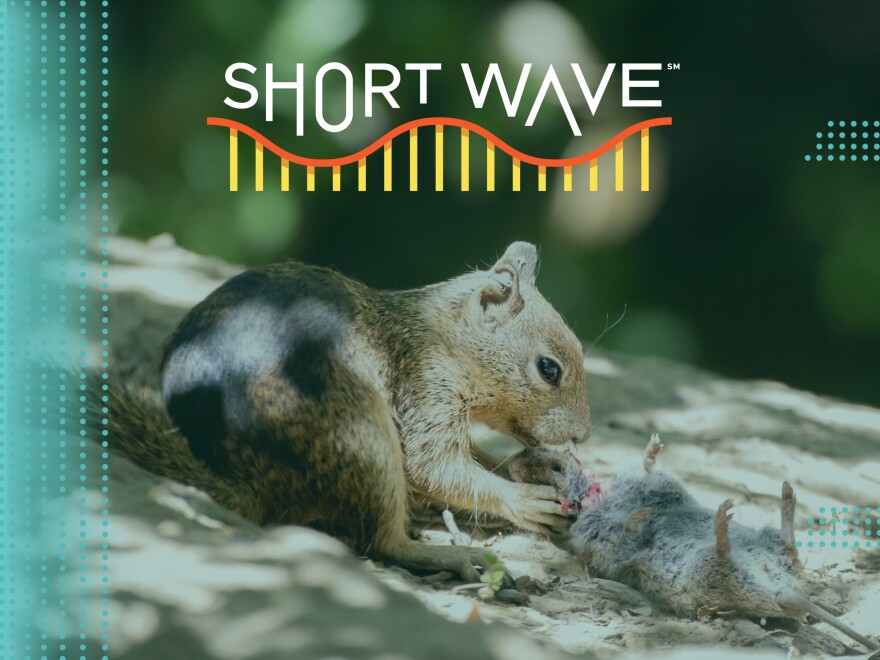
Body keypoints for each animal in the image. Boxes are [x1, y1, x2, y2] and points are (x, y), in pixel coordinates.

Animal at [105, 241, 592, 582]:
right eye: (548, 368)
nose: (585, 434)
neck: (442, 337)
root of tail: (250, 484)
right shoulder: (425, 387)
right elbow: (435, 469)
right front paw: (523, 499)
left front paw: (535, 467)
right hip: (363, 436)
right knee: (381, 542)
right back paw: (450, 554)